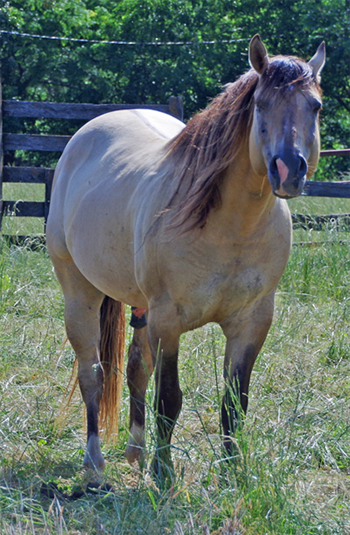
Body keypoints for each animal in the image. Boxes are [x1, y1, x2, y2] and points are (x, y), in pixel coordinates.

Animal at [45, 35, 326, 480]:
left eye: (314, 106)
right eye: (261, 104)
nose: (288, 169)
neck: (231, 229)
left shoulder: (252, 322)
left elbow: (234, 402)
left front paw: (231, 471)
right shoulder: (168, 321)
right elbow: (169, 399)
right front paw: (164, 475)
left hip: (139, 307)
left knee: (135, 369)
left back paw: (136, 453)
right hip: (79, 291)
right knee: (92, 373)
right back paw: (95, 463)